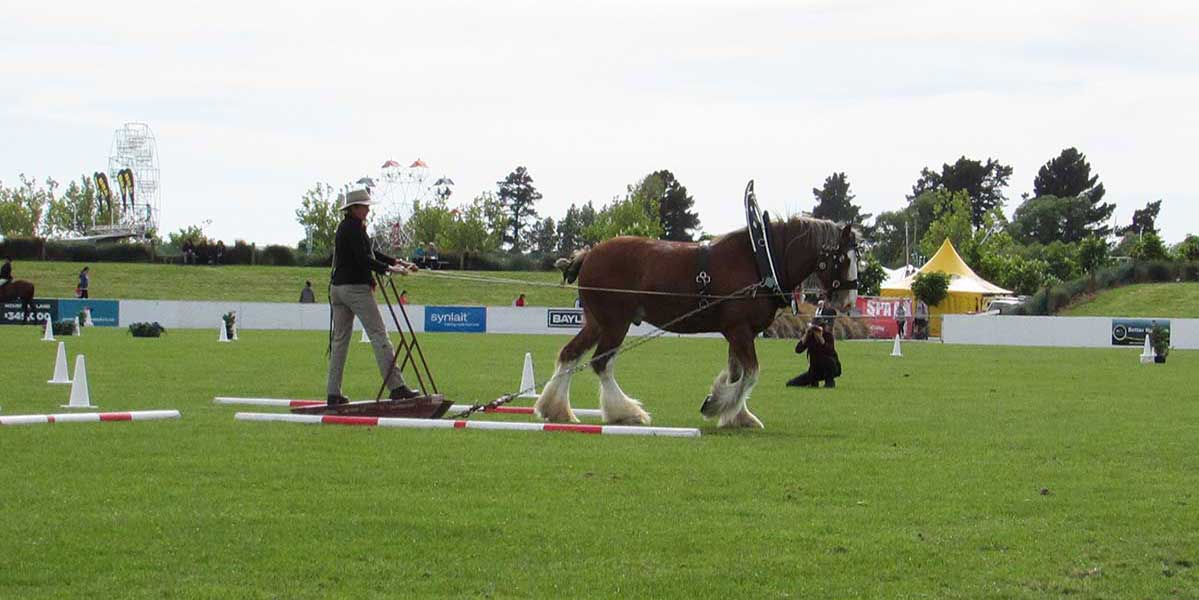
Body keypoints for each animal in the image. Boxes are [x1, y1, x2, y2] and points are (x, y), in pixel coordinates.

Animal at [539, 216, 858, 427]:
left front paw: (737, 415)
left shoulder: (737, 333)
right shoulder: (740, 331)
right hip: (616, 322)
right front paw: (717, 405)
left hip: (597, 322)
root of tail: (589, 253)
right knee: (602, 364)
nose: (849, 301)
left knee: (570, 355)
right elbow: (750, 374)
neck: (760, 259)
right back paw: (625, 412)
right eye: (844, 258)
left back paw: (557, 410)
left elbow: (737, 373)